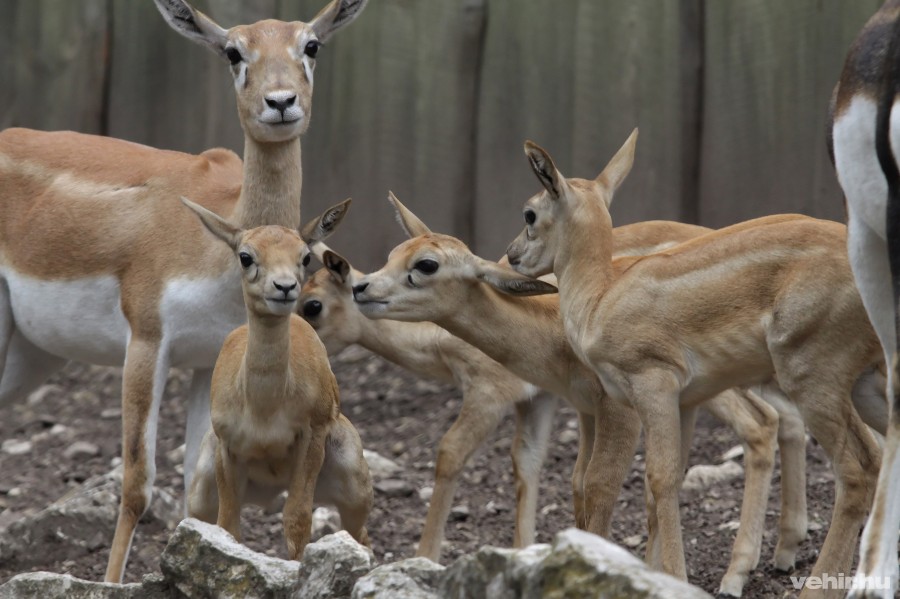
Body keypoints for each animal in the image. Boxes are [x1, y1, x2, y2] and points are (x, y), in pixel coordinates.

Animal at [181, 200, 370, 556]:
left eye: (305, 256)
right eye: (245, 256)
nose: (284, 287)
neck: (264, 408)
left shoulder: (312, 438)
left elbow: (297, 521)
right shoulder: (226, 448)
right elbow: (227, 527)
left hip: (353, 485)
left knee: (360, 537)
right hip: (202, 488)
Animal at [352, 196, 816, 596]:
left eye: (426, 264)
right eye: (394, 251)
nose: (362, 287)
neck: (556, 326)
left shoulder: (620, 410)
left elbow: (602, 485)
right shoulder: (585, 409)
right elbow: (578, 484)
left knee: (765, 424)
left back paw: (737, 574)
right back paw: (782, 552)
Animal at [492, 130, 880, 596]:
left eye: (530, 212)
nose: (511, 254)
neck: (600, 298)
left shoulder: (654, 385)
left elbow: (656, 478)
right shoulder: (683, 402)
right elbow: (668, 478)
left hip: (814, 380)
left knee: (856, 469)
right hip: (867, 383)